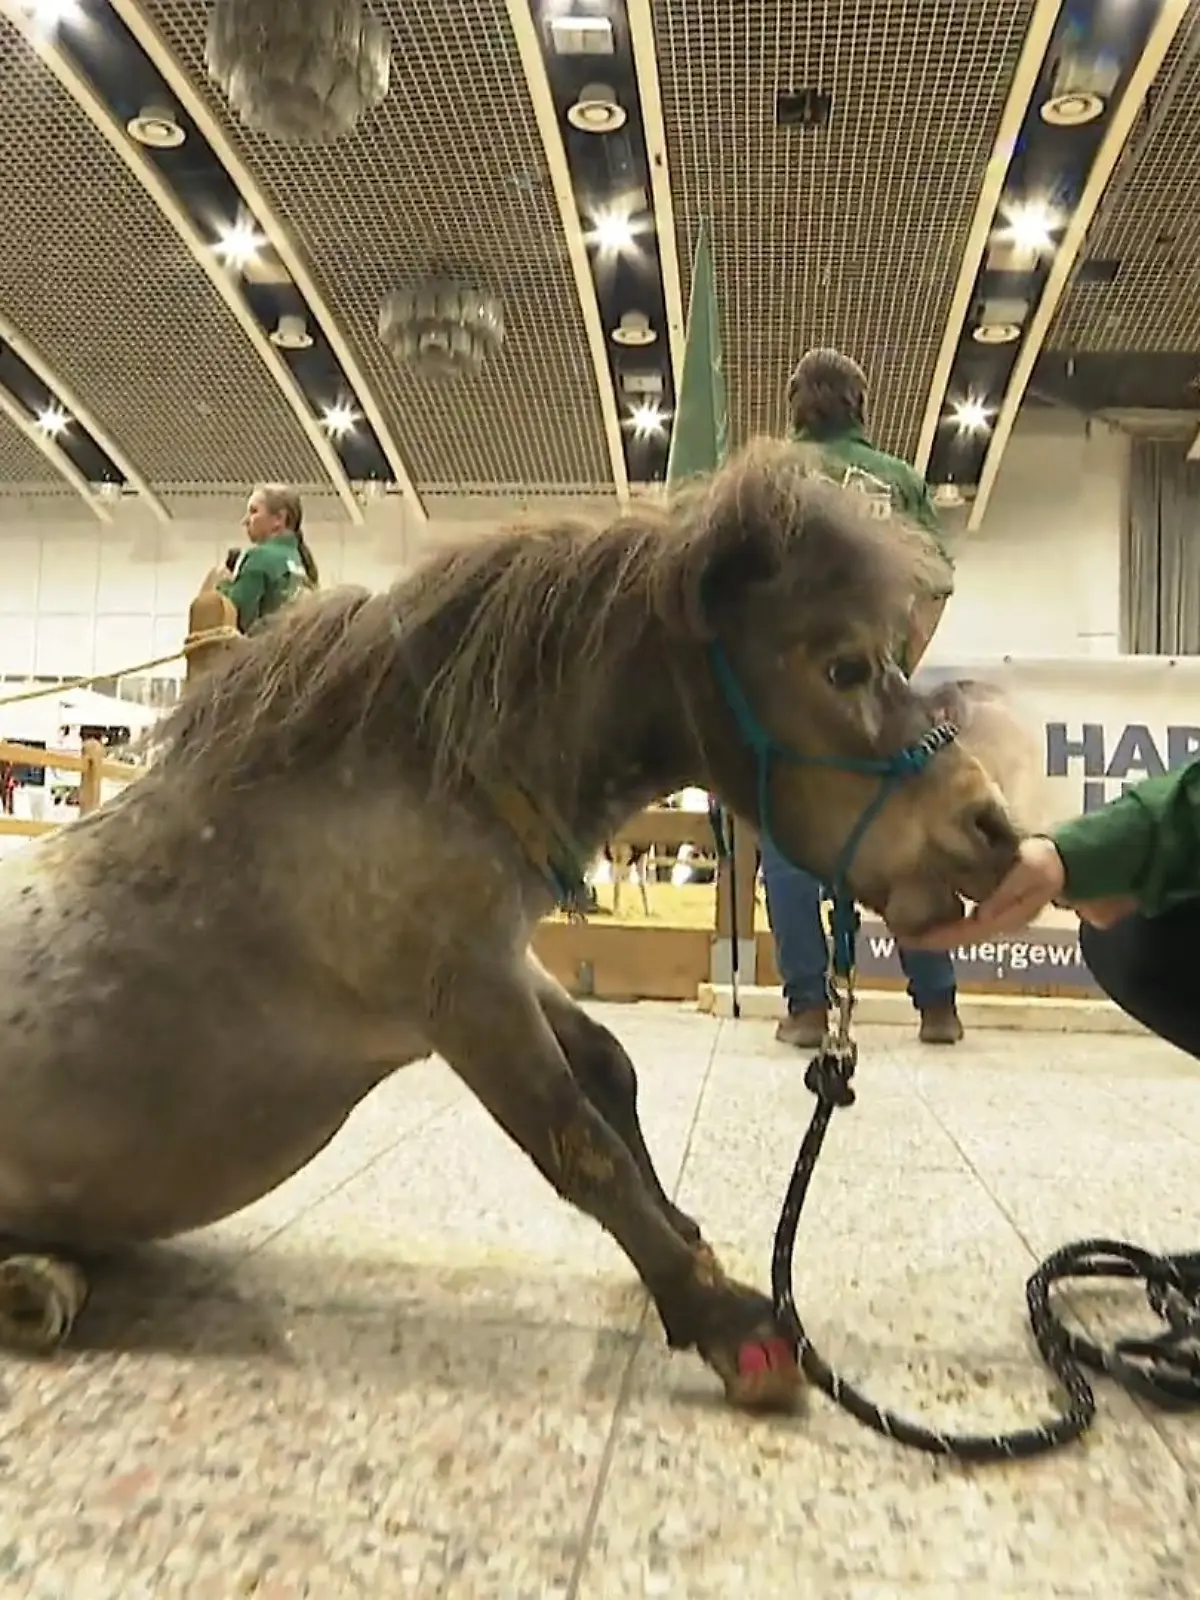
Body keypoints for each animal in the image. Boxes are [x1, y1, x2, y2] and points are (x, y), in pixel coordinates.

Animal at [0, 439, 1019, 1412]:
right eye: (844, 666)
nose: (993, 829)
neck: (403, 782)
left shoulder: (507, 964)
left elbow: (609, 1069)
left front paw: (684, 1244)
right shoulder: (467, 1003)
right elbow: (575, 1141)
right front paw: (726, 1322)